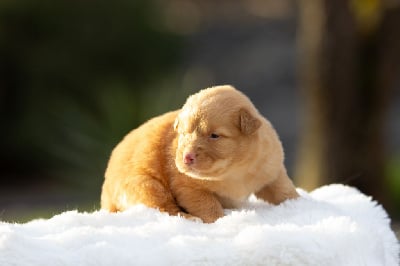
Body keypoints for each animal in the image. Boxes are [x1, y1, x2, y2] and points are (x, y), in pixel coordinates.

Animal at [101, 85, 298, 222]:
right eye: (183, 133)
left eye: (214, 135)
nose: (186, 157)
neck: (234, 172)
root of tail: (106, 195)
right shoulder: (189, 188)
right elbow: (208, 206)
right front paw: (222, 221)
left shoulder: (271, 168)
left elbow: (283, 190)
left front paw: (298, 204)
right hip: (147, 186)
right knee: (165, 209)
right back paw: (190, 218)